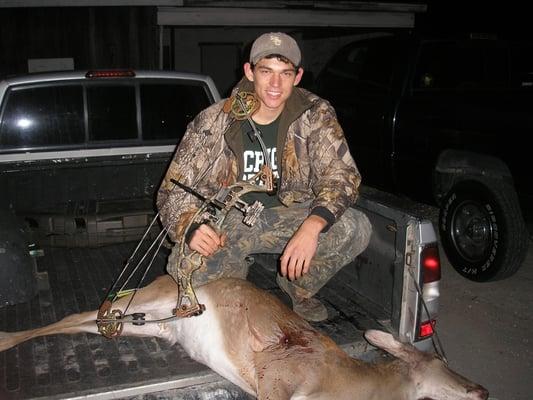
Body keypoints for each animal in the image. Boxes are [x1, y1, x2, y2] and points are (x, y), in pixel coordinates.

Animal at [0, 276, 488, 400]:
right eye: (445, 365)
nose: (482, 390)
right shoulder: (278, 378)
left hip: (153, 324)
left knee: (98, 320)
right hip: (155, 294)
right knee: (82, 311)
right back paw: (5, 337)